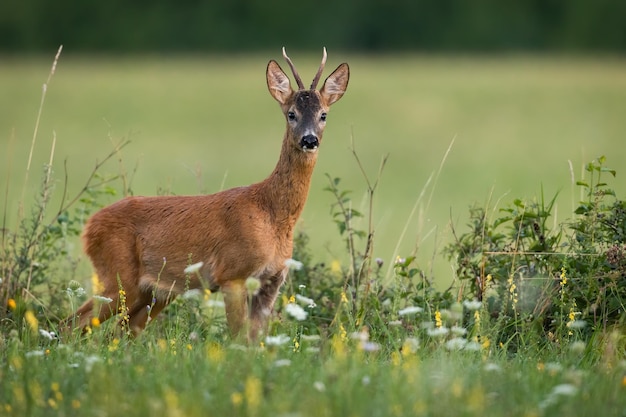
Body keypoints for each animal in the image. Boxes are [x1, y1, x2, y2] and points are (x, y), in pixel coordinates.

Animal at [66, 48, 348, 340]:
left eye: (324, 114)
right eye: (291, 114)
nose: (309, 140)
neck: (272, 214)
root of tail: (90, 226)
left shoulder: (272, 280)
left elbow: (257, 341)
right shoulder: (232, 274)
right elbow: (238, 339)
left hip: (154, 291)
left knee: (121, 331)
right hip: (117, 274)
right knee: (73, 323)